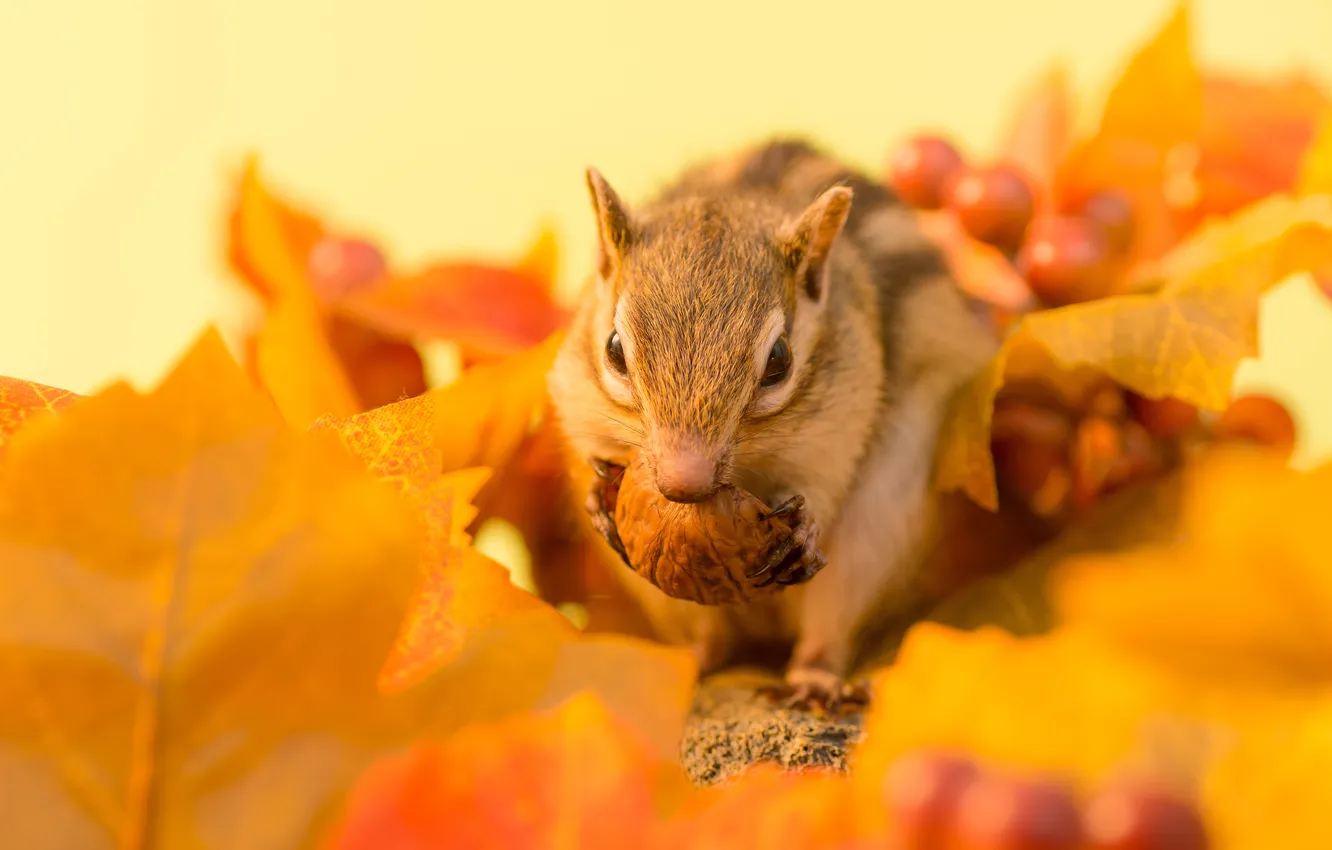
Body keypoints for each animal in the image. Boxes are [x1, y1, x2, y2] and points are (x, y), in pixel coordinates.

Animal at [547, 138, 998, 706]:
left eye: (779, 360)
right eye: (613, 350)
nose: (682, 481)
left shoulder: (837, 428)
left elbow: (823, 488)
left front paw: (805, 530)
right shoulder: (577, 399)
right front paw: (596, 500)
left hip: (874, 537)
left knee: (829, 628)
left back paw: (813, 678)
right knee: (712, 641)